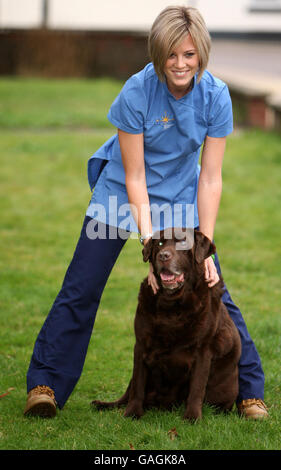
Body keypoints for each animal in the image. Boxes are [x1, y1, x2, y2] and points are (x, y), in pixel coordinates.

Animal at [92, 229, 241, 422]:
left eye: (183, 242)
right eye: (160, 244)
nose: (163, 256)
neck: (172, 304)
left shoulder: (203, 350)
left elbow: (197, 388)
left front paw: (192, 417)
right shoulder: (140, 345)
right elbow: (138, 385)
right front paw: (132, 413)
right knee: (129, 390)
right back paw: (104, 404)